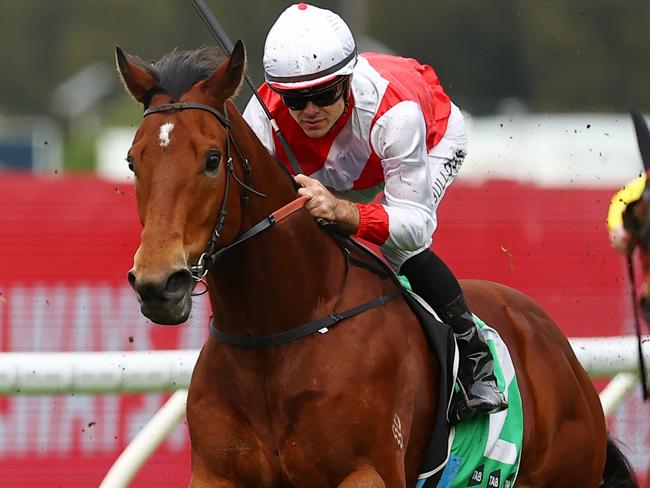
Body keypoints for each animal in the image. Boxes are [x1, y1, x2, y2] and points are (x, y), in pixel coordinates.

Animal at [115, 42, 632, 488]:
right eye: (133, 160)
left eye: (211, 159)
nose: (159, 283)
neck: (276, 332)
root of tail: (558, 347)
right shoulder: (216, 474)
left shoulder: (369, 471)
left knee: (412, 238)